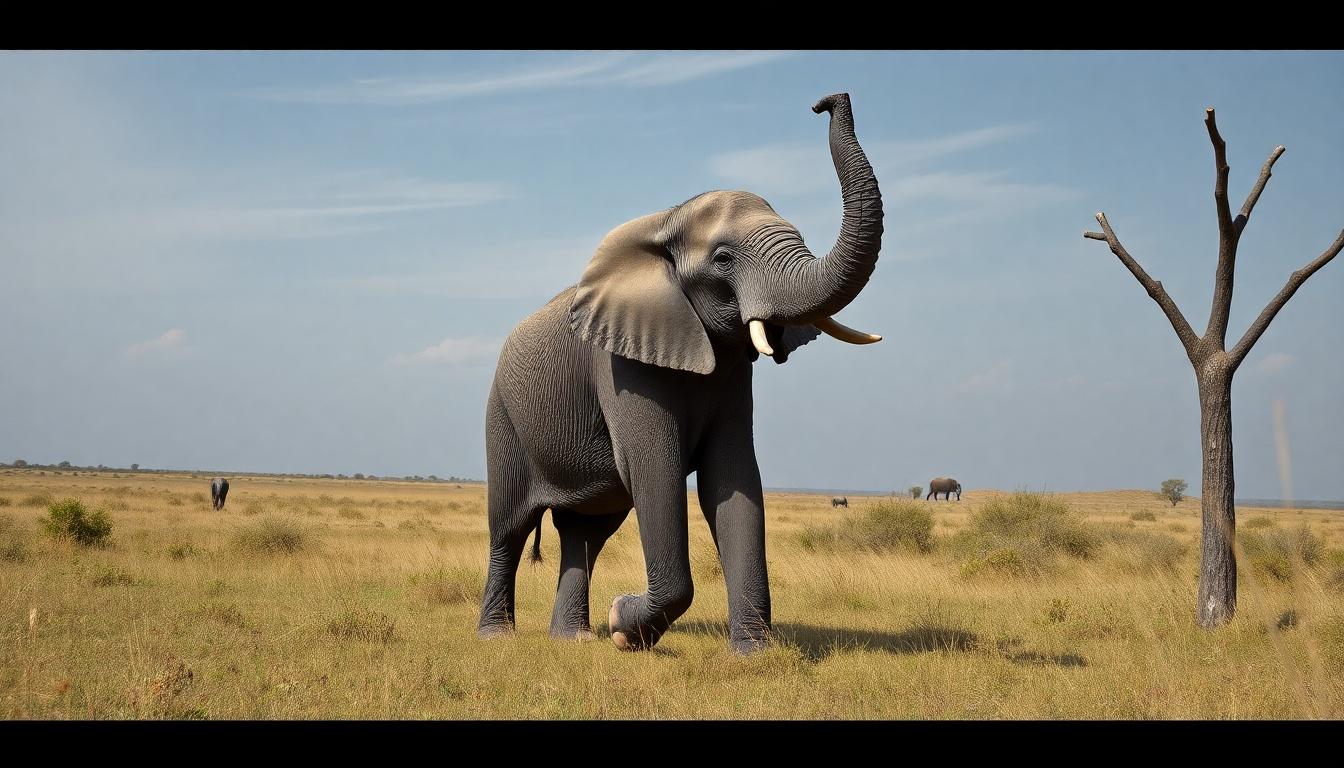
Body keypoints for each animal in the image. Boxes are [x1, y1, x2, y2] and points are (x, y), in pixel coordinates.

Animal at [477, 93, 885, 654]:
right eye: (723, 257)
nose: (828, 101)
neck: (667, 219)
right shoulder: (620, 365)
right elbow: (657, 473)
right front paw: (622, 626)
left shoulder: (732, 372)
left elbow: (731, 479)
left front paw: (752, 654)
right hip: (502, 417)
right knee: (510, 529)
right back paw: (498, 637)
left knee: (586, 531)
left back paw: (572, 640)